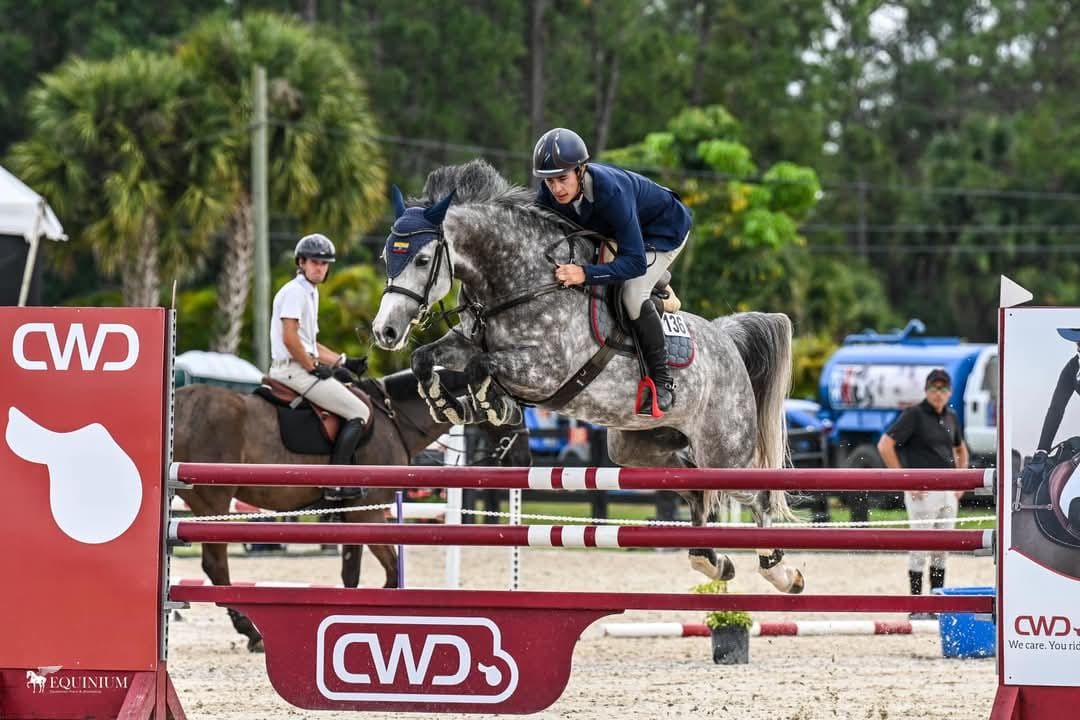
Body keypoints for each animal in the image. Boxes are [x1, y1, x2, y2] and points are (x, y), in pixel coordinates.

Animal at [172, 369, 531, 651]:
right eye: (504, 406)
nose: (523, 459)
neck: (395, 419)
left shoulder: (352, 515)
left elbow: (352, 573)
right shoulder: (366, 512)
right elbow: (392, 570)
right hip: (213, 501)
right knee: (216, 565)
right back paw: (251, 631)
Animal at [371, 160, 803, 595]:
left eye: (422, 260)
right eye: (386, 255)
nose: (384, 331)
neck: (523, 283)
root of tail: (727, 339)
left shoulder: (545, 369)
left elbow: (483, 367)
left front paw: (494, 406)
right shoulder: (467, 343)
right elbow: (426, 357)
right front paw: (449, 404)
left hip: (725, 452)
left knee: (758, 497)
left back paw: (781, 572)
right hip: (638, 447)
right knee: (692, 483)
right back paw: (712, 561)